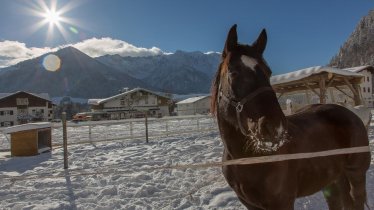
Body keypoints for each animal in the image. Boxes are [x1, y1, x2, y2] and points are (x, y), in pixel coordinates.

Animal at [210, 23, 372, 209]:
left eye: (268, 72)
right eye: (233, 72)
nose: (274, 127)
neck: (247, 160)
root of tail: (351, 113)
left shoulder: (283, 202)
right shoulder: (249, 204)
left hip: (356, 175)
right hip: (333, 179)